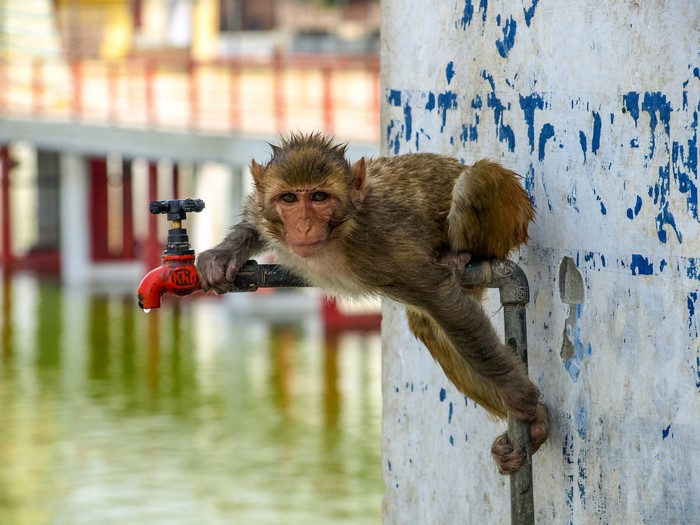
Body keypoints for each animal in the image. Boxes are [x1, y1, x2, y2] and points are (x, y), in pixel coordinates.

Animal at [196, 132, 549, 474]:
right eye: (289, 199)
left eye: (319, 197)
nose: (304, 226)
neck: (340, 234)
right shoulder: (264, 211)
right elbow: (253, 220)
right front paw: (223, 255)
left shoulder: (383, 245)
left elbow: (441, 298)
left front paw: (517, 390)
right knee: (430, 326)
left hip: (510, 220)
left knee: (475, 180)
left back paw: (461, 256)